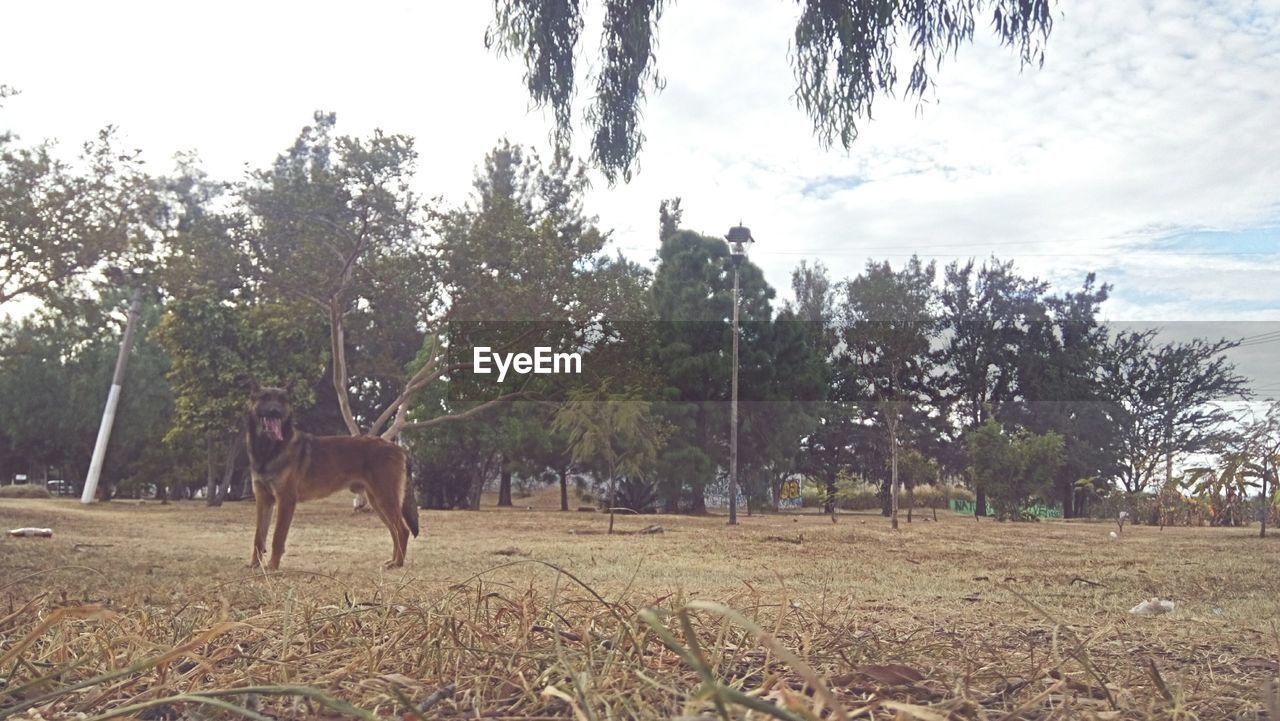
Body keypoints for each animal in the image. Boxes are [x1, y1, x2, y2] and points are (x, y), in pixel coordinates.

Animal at [241, 384, 417, 571]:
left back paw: (398, 563)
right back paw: (393, 561)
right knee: (394, 530)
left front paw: (273, 566)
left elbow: (277, 537)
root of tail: (398, 448)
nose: (275, 411)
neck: (269, 450)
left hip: (385, 499)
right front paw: (254, 565)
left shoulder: (285, 501)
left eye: (282, 400)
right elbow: (259, 537)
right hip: (378, 502)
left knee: (402, 530)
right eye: (265, 398)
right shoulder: (263, 500)